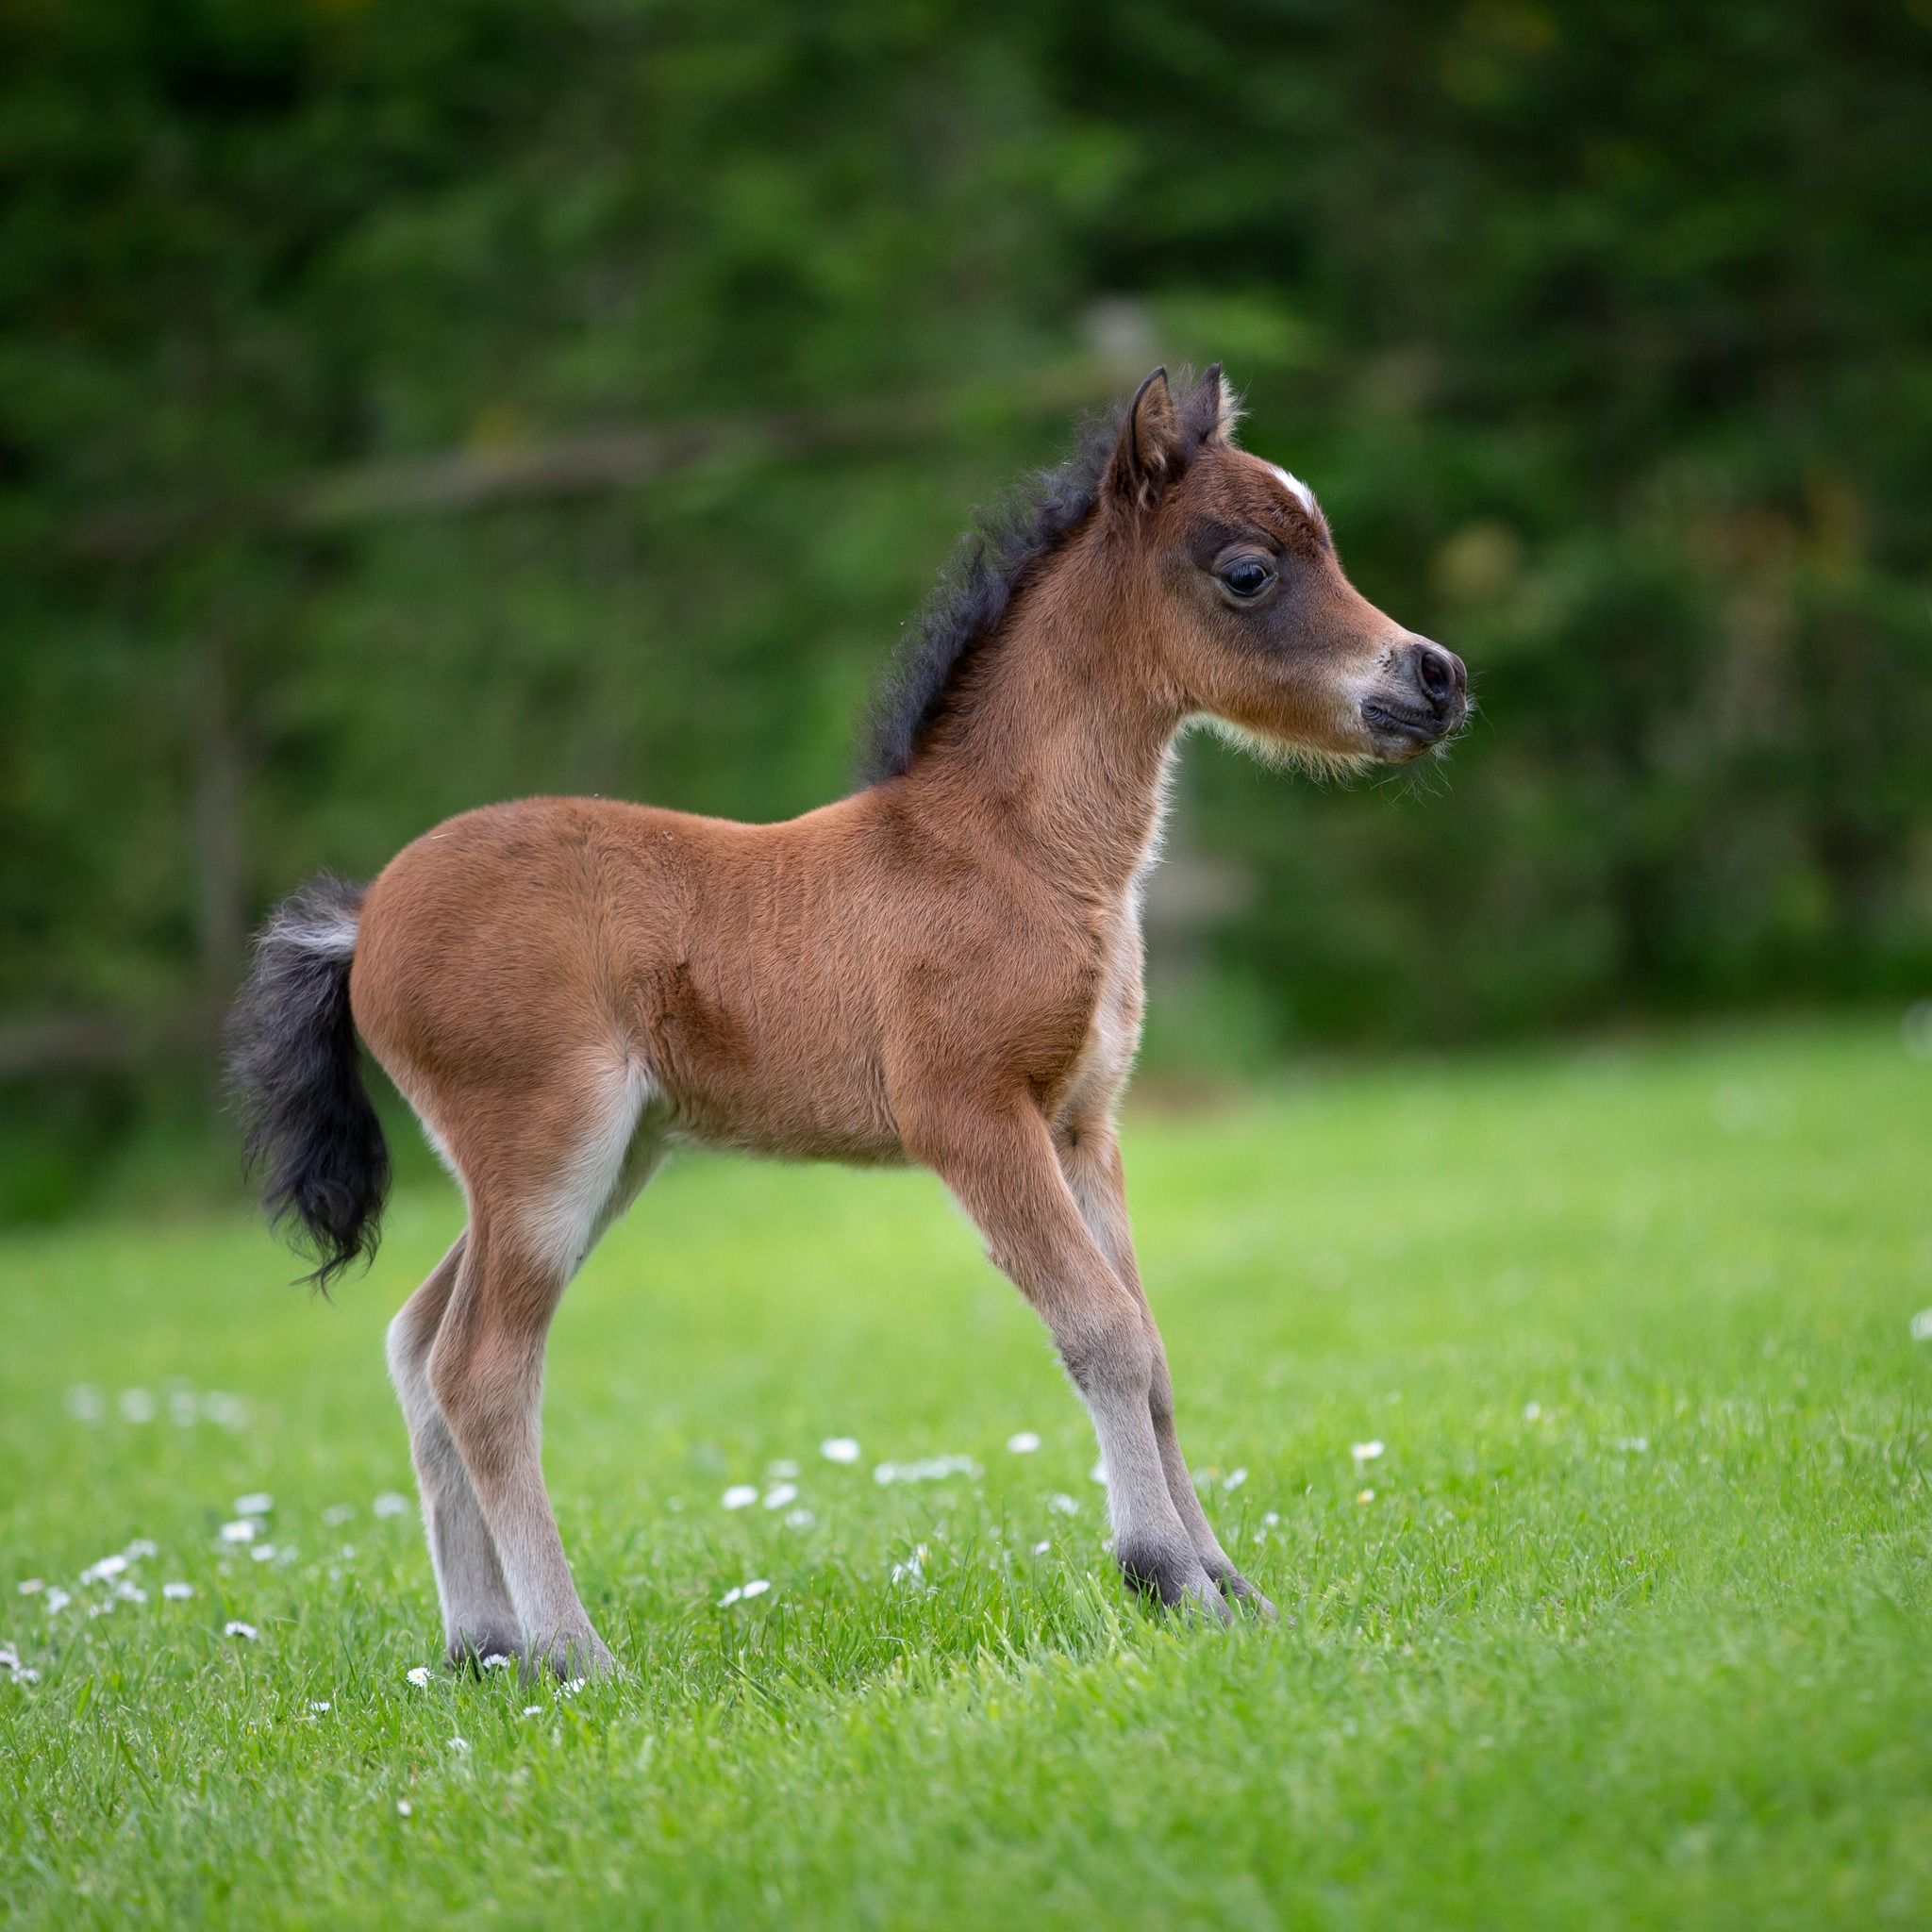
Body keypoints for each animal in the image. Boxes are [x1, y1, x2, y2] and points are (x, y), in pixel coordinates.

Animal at [228, 366, 1467, 1677]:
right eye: (1247, 570)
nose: (1432, 676)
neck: (1013, 852)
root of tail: (364, 918)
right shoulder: (967, 1113)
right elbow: (1101, 1332)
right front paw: (1164, 1578)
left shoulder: (1082, 1124)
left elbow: (1152, 1345)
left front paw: (1231, 1590)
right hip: (545, 1144)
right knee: (481, 1370)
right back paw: (574, 1654)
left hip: (593, 1160)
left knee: (418, 1341)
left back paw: (480, 1646)